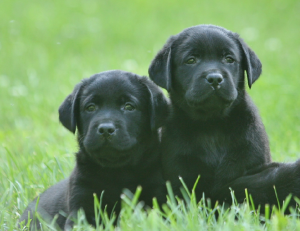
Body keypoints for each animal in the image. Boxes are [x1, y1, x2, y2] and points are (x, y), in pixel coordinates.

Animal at [18, 70, 170, 229]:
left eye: (129, 107)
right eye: (90, 107)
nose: (106, 129)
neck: (118, 171)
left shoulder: (157, 195)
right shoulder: (81, 202)